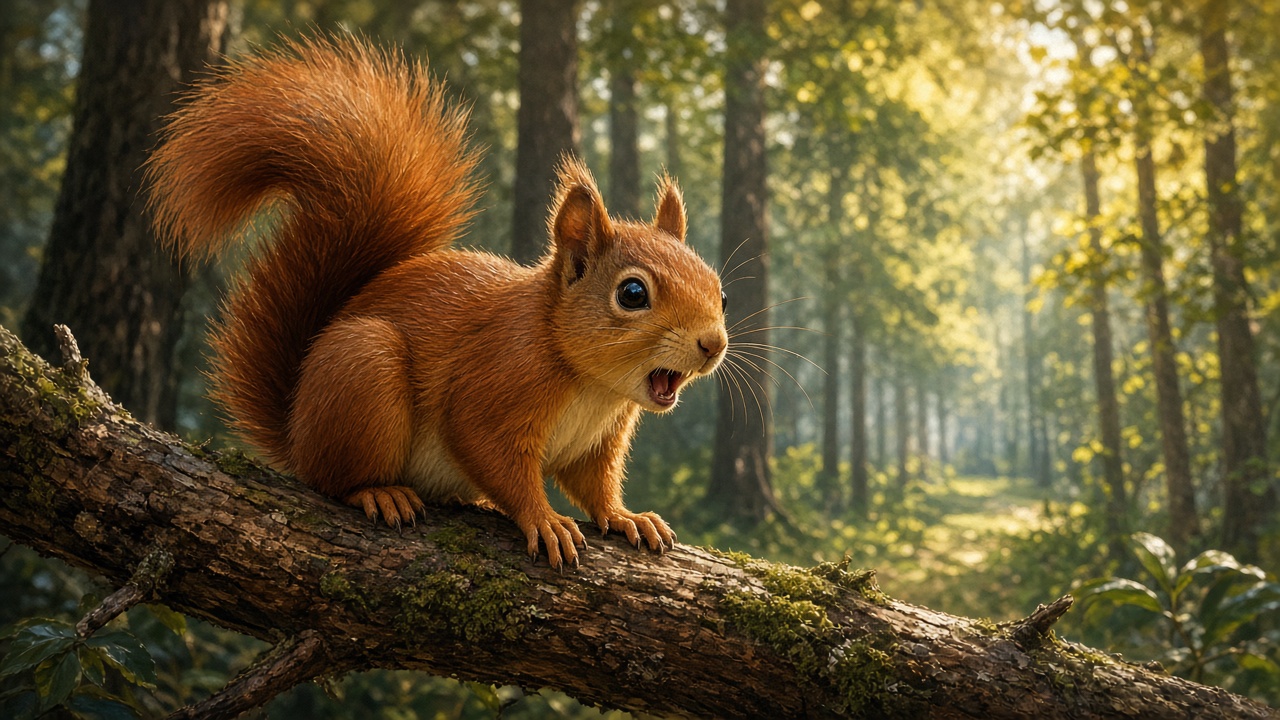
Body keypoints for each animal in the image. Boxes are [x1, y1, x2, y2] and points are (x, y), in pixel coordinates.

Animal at [145, 36, 728, 569]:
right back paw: (378, 491)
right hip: (363, 369)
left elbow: (594, 485)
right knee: (332, 478)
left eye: (720, 290)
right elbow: (488, 450)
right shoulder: (496, 381)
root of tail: (295, 430)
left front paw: (627, 516)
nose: (713, 344)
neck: (591, 383)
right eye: (632, 294)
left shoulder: (599, 441)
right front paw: (543, 519)